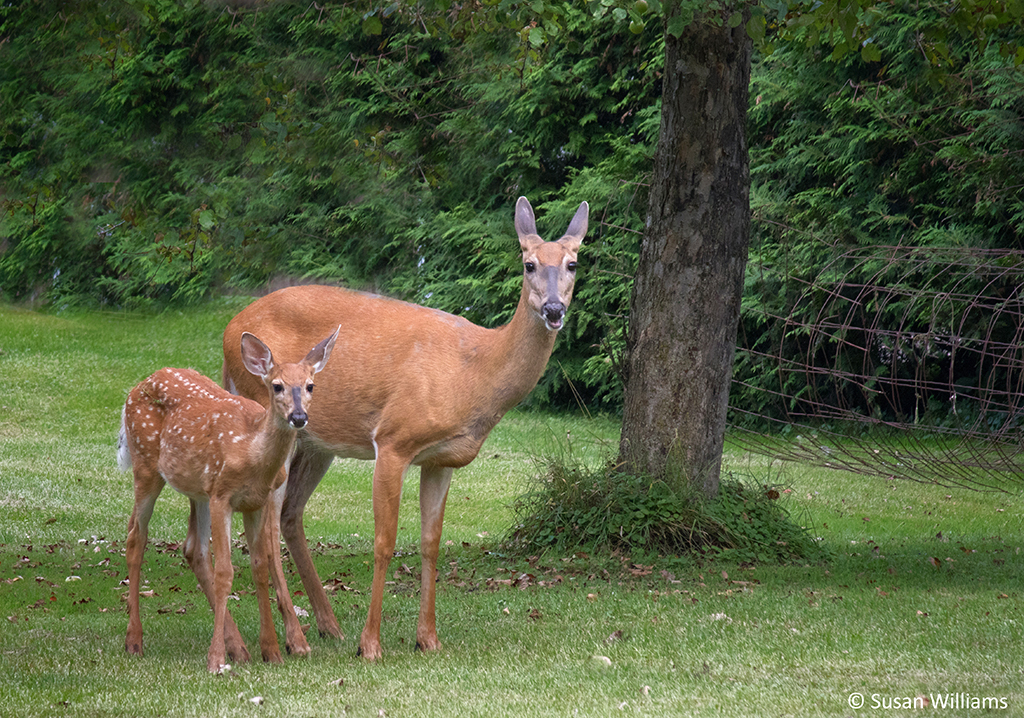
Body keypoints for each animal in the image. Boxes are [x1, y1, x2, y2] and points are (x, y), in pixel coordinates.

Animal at [117, 327, 337, 667]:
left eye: (310, 385)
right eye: (277, 386)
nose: (299, 417)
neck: (250, 451)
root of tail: (138, 386)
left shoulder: (254, 502)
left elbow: (260, 566)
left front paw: (272, 650)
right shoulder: (223, 496)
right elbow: (225, 571)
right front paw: (215, 659)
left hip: (198, 490)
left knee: (193, 548)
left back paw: (239, 647)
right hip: (146, 465)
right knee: (135, 537)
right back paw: (134, 641)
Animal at [224, 195, 593, 659]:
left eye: (573, 263)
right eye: (528, 263)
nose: (553, 309)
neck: (473, 373)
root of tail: (228, 330)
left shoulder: (441, 460)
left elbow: (430, 543)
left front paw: (428, 638)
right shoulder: (394, 440)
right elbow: (384, 543)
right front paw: (370, 645)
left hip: (315, 440)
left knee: (289, 514)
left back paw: (327, 627)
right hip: (273, 415)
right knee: (266, 525)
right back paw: (295, 639)